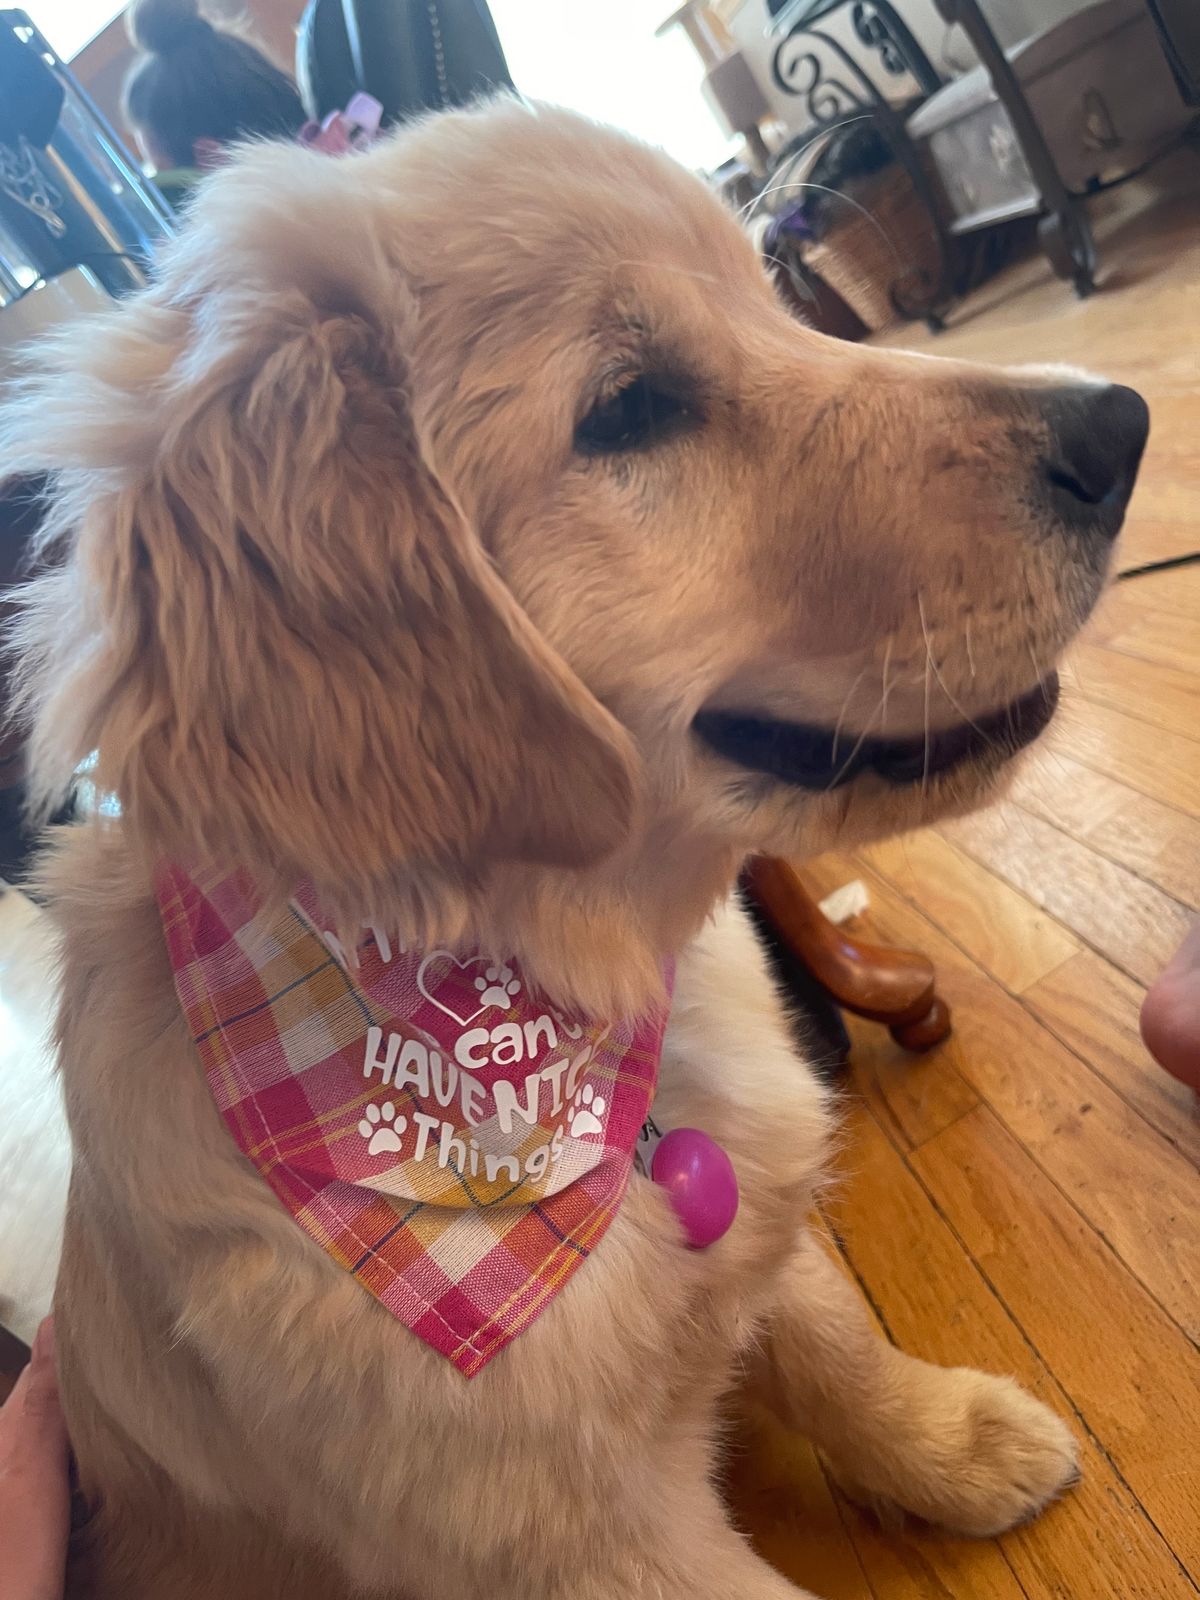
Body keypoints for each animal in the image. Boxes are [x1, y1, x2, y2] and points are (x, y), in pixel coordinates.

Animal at [1, 101, 1148, 1599]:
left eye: (776, 301)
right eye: (629, 411)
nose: (1124, 426)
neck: (541, 1027)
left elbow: (829, 1330)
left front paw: (946, 1438)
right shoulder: (589, 1548)